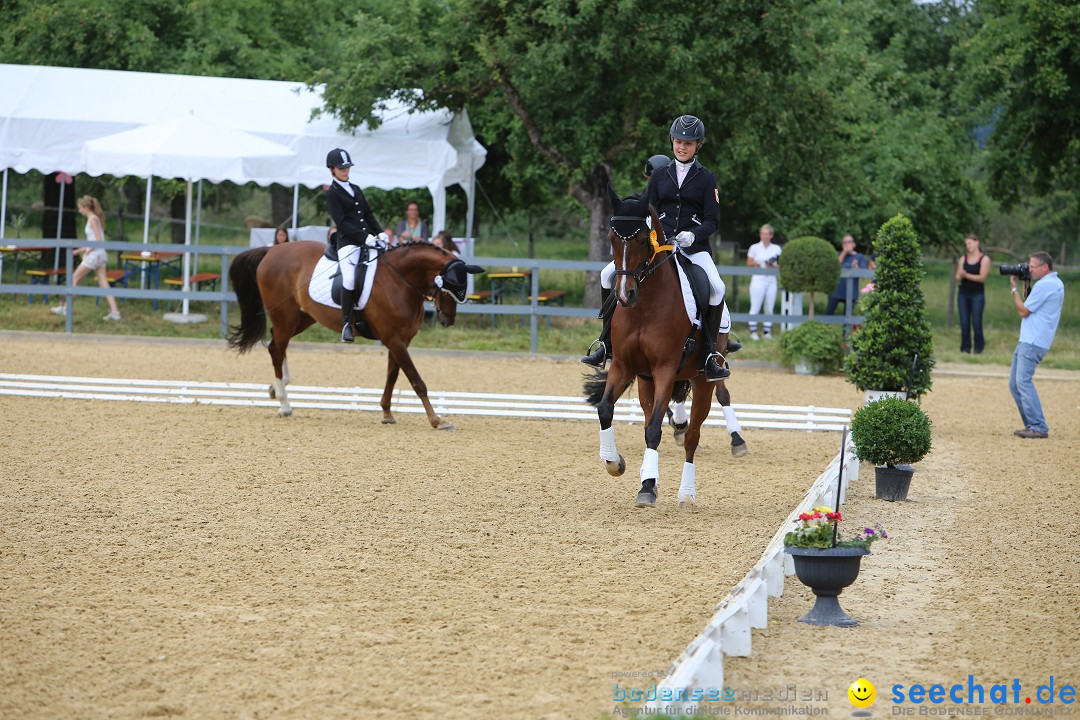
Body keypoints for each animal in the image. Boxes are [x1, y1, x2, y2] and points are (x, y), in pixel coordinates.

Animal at [230, 239, 483, 431]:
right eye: (449, 287)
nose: (448, 320)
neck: (399, 280)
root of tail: (271, 250)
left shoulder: (400, 340)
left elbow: (392, 377)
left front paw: (387, 413)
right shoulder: (394, 340)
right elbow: (416, 381)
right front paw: (437, 420)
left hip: (302, 318)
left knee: (277, 345)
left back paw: (277, 386)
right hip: (285, 315)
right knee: (276, 348)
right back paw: (284, 404)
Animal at [587, 188, 721, 509]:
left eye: (640, 239)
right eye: (611, 238)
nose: (625, 295)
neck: (645, 305)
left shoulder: (665, 369)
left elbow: (656, 429)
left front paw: (647, 489)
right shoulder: (624, 365)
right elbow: (606, 410)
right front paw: (615, 463)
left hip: (702, 381)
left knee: (692, 436)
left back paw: (686, 494)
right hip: (645, 379)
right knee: (650, 416)